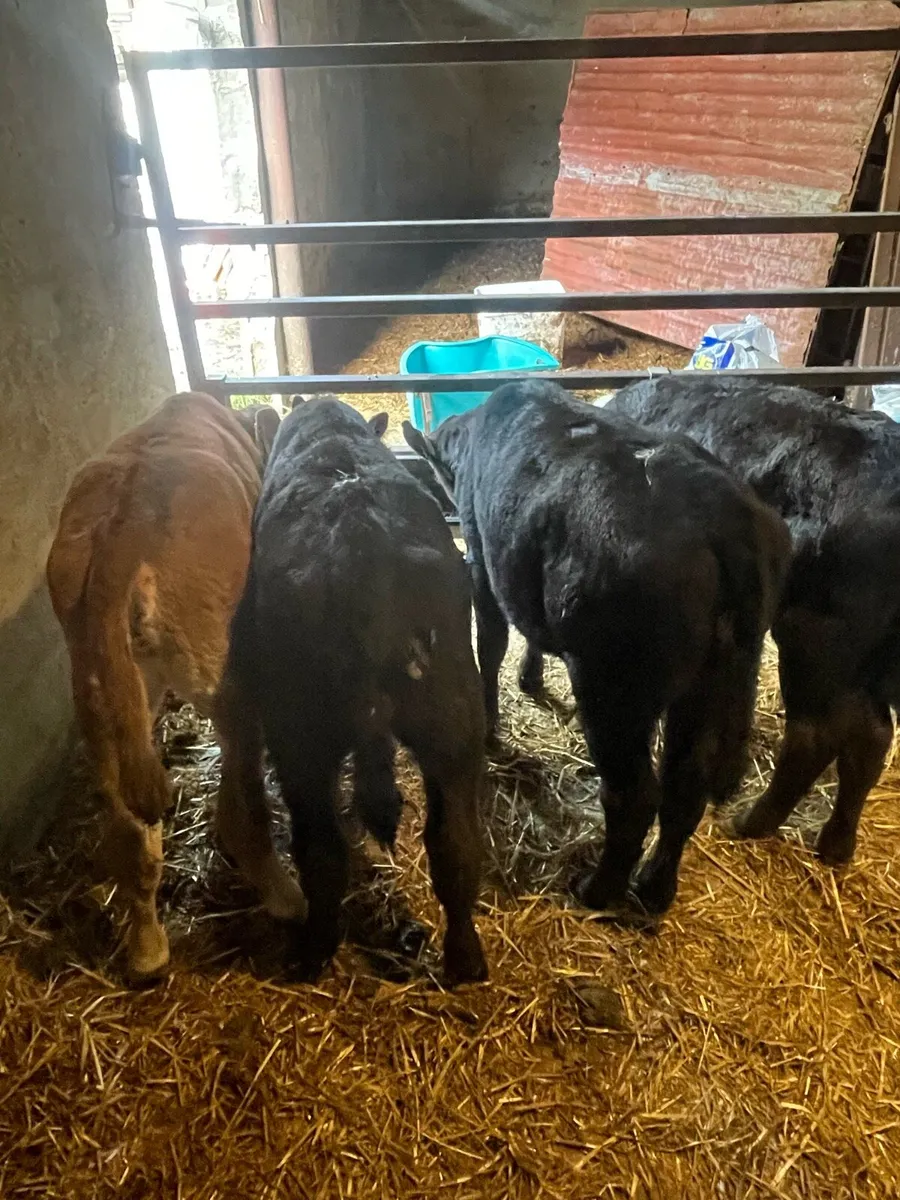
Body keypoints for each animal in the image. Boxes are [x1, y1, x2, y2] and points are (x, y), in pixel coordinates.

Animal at [46, 391, 302, 982]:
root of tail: (116, 543)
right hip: (228, 685)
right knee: (242, 811)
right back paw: (286, 897)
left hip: (96, 700)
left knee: (128, 835)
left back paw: (146, 952)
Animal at [216, 395, 487, 985]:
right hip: (454, 726)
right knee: (455, 845)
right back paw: (467, 961)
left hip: (300, 738)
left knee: (320, 850)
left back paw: (312, 951)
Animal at [403, 380, 790, 918]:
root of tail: (724, 523)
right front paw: (531, 677)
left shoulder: (482, 561)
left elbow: (493, 642)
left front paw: (492, 723)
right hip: (709, 685)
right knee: (684, 788)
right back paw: (654, 889)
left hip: (614, 690)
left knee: (633, 796)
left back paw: (597, 889)